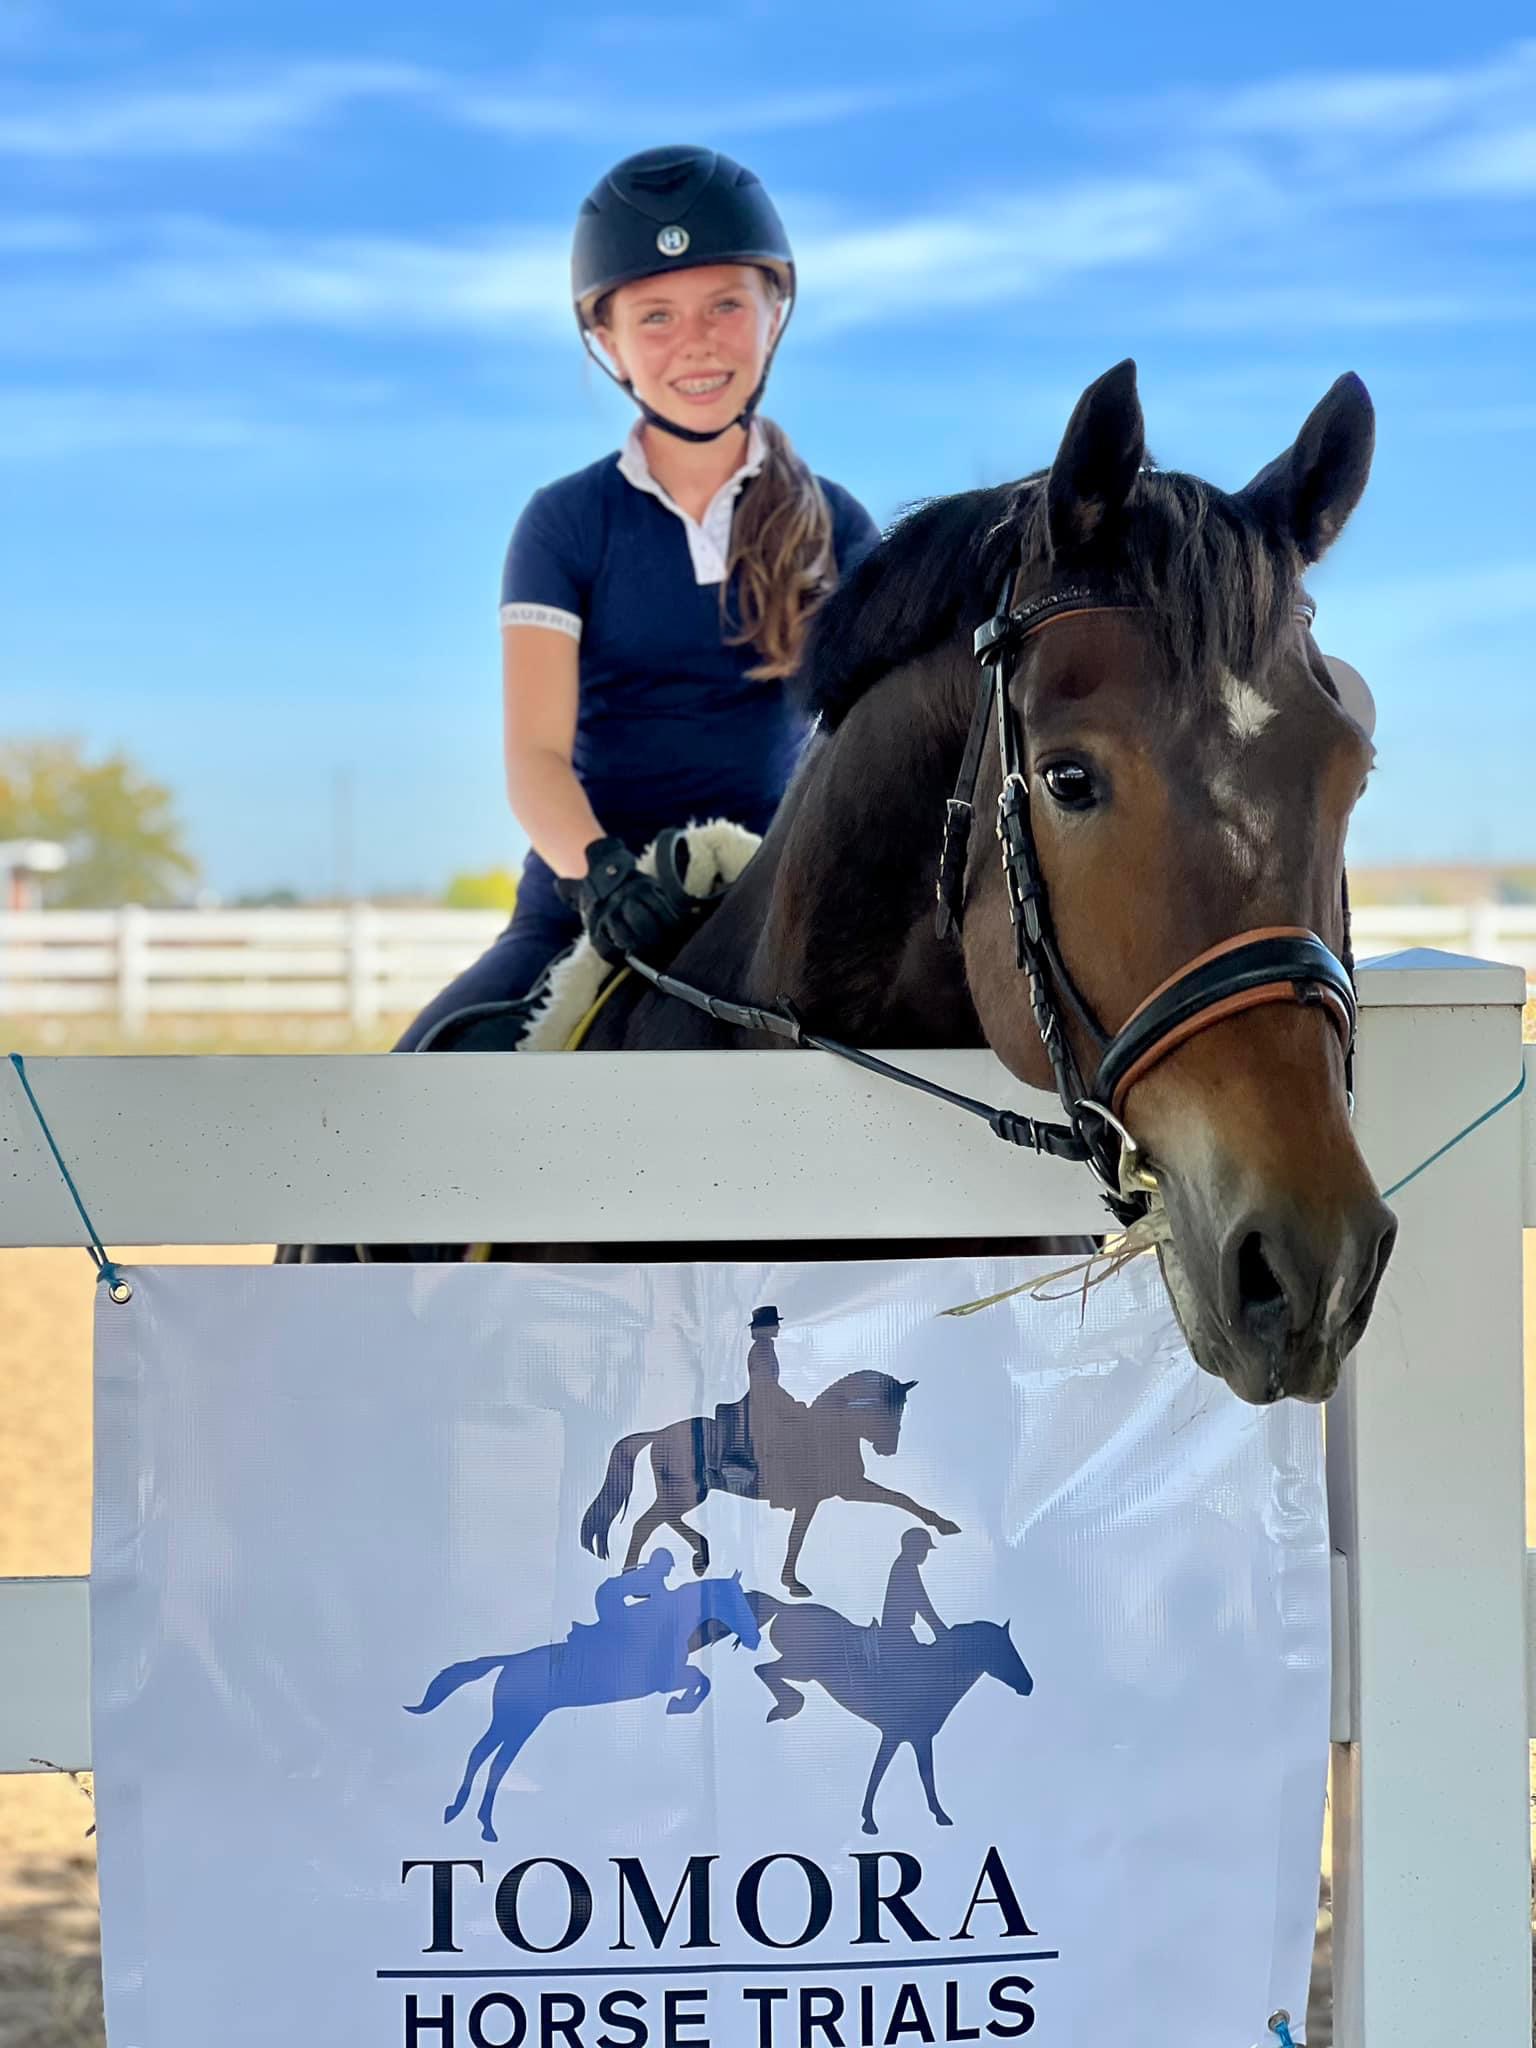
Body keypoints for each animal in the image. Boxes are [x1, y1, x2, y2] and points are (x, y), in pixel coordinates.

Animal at [404, 1571, 759, 1842]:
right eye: (736, 1601)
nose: (754, 1639)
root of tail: (510, 1662)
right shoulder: (664, 1678)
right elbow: (701, 1680)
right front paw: (679, 1704)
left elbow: (702, 1680)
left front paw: (680, 1704)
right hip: (517, 1719)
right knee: (489, 1759)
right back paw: (473, 1819)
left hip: (517, 1720)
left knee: (489, 1758)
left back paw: (470, 1817)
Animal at [579, 1369, 958, 1598]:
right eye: (887, 1411)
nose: (889, 1449)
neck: (829, 1433)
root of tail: (659, 1434)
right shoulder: (842, 1491)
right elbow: (898, 1499)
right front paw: (793, 1584)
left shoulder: (829, 1495)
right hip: (685, 1493)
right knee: (648, 1523)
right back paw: (652, 1573)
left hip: (687, 1493)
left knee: (659, 1521)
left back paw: (687, 1560)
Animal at [747, 1593, 1034, 1835]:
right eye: (1005, 1651)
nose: (1028, 1685)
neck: (936, 1675)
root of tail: (784, 1608)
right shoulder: (899, 1735)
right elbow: (887, 1773)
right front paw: (871, 1822)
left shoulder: (914, 1737)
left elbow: (915, 1775)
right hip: (803, 1667)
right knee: (763, 1669)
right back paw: (786, 1707)